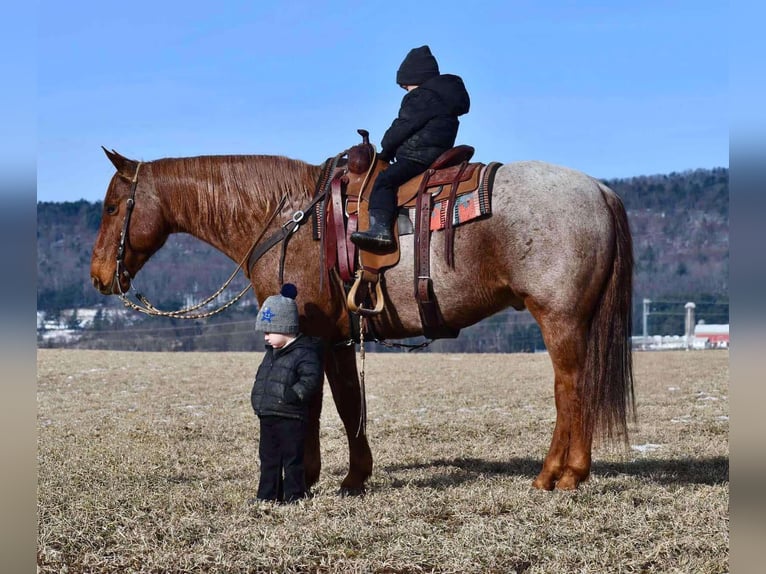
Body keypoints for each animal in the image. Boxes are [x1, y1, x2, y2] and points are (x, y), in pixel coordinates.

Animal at [88, 146, 636, 492]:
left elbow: (318, 404)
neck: (289, 221)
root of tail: (599, 190)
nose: (98, 276)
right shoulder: (336, 338)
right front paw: (352, 475)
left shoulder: (309, 331)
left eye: (113, 206)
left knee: (570, 388)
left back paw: (558, 475)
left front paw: (319, 477)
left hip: (559, 318)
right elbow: (347, 400)